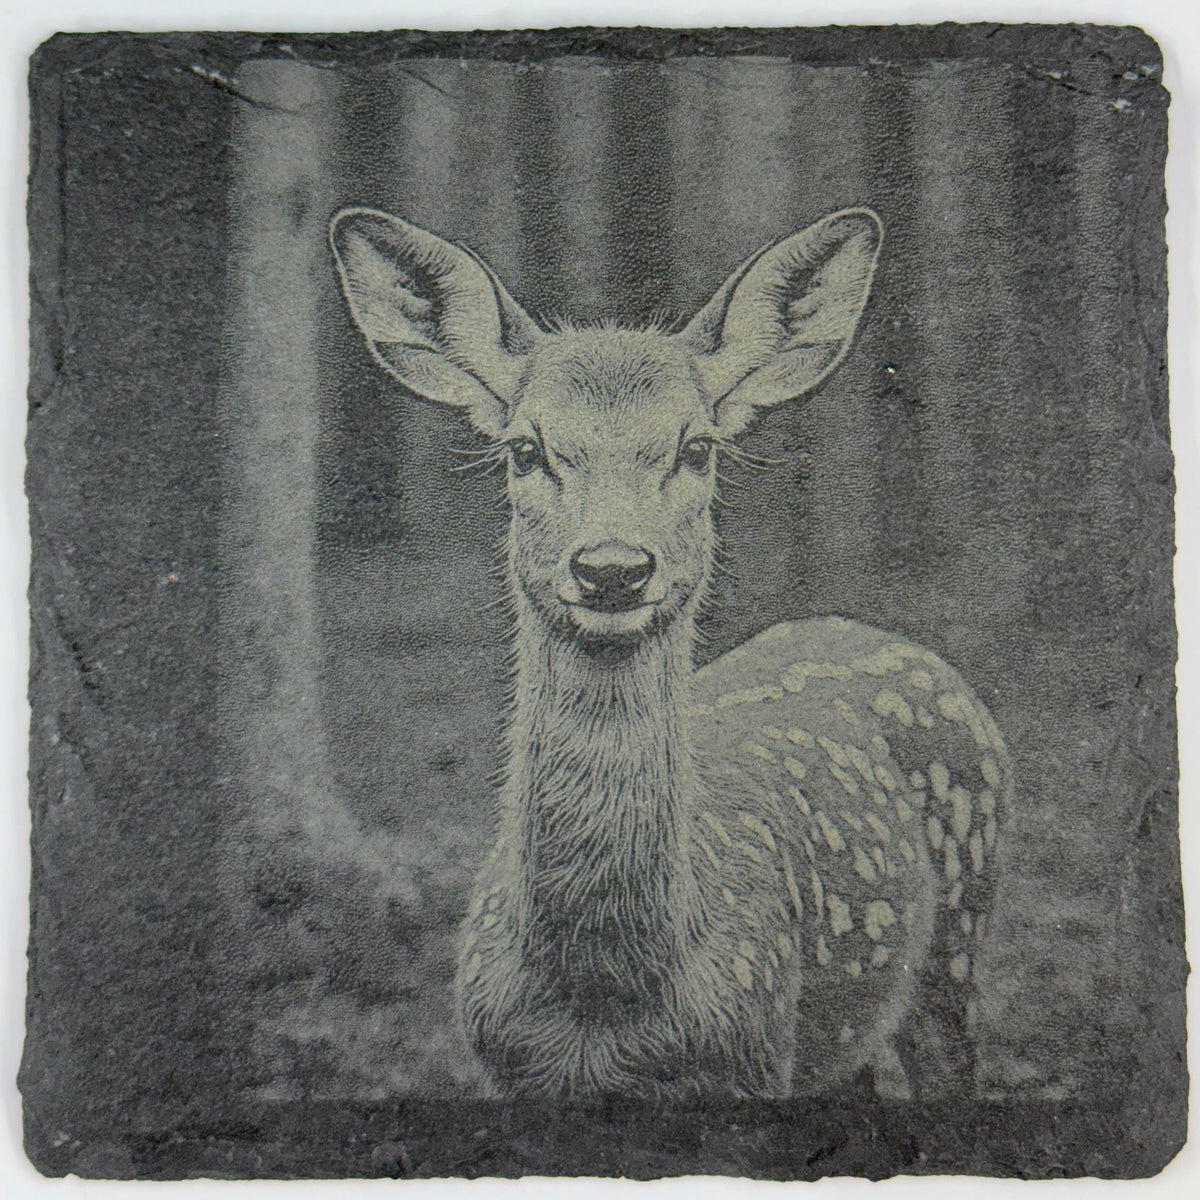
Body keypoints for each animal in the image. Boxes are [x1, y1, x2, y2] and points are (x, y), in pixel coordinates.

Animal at [330, 204, 1012, 1102]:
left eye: (697, 448)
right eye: (524, 449)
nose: (612, 567)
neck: (602, 1003)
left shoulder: (756, 1053)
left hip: (960, 935)